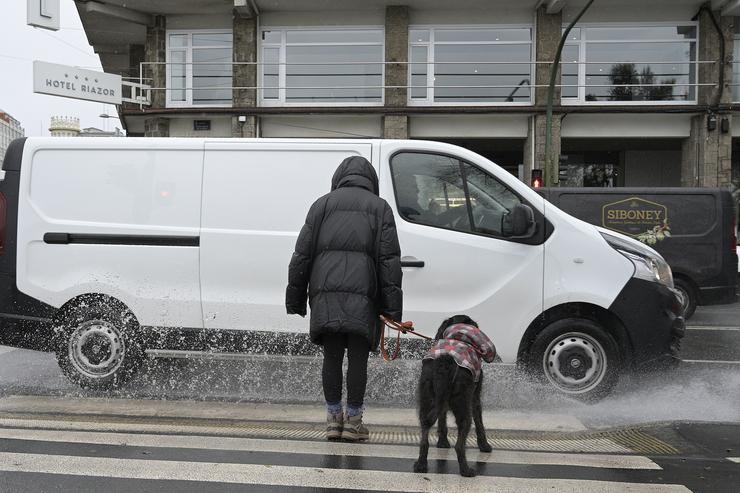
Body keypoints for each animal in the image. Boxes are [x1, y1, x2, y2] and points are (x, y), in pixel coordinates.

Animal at [414, 316, 494, 476]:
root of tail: (445, 362)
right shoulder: (475, 397)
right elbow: (480, 422)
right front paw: (484, 446)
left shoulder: (442, 399)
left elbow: (442, 419)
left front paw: (442, 443)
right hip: (463, 404)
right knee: (460, 443)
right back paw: (466, 470)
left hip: (426, 399)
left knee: (425, 435)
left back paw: (421, 465)